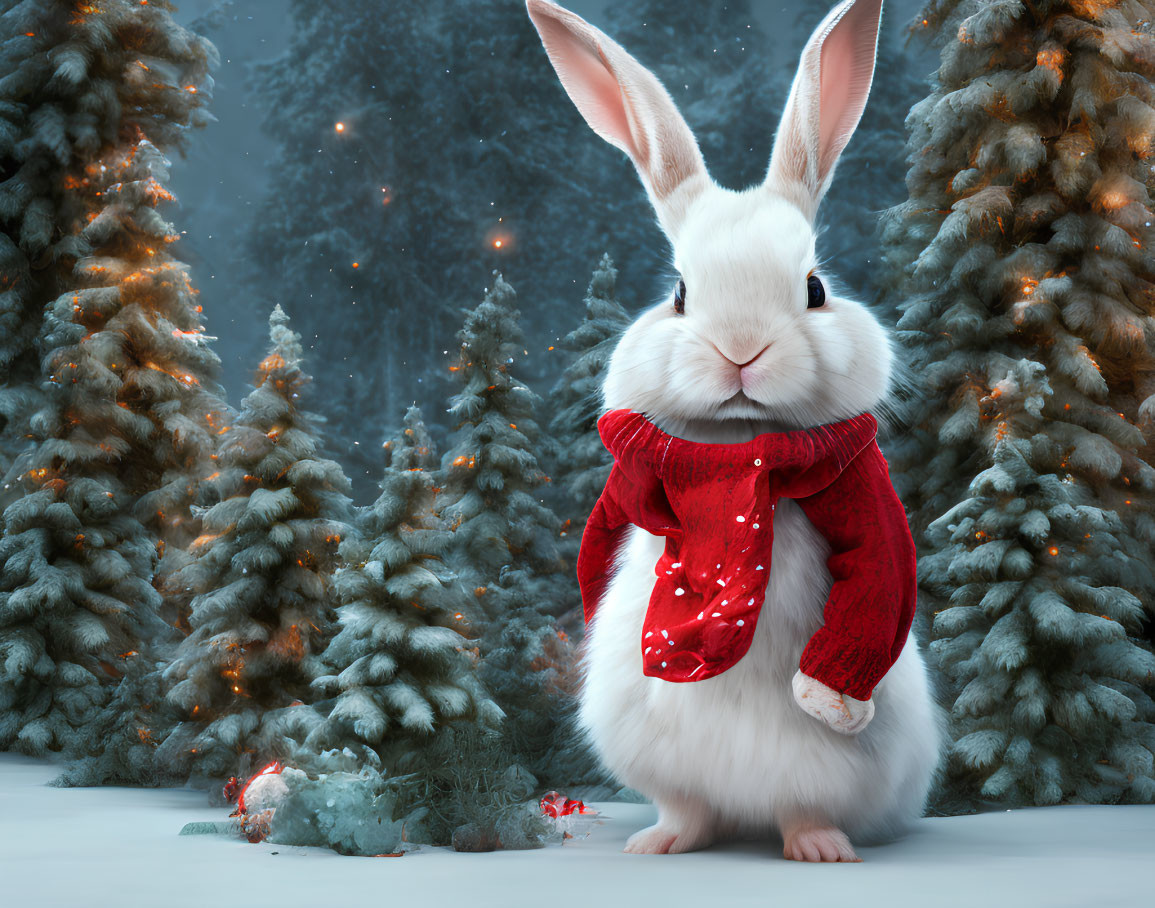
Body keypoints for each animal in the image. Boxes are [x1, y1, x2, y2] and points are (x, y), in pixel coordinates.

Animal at [528, 0, 942, 864]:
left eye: (814, 288)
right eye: (680, 293)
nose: (740, 349)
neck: (737, 457)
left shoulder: (860, 491)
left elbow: (879, 571)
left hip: (831, 769)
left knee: (801, 806)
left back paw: (818, 848)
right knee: (690, 807)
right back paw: (658, 842)